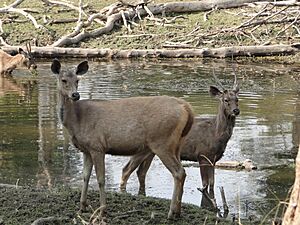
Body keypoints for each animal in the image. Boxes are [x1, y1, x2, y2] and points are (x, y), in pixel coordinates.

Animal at [51, 59, 195, 219]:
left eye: (77, 80)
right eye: (63, 80)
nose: (75, 95)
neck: (76, 121)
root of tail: (186, 108)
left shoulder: (97, 146)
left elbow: (101, 179)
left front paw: (102, 210)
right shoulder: (86, 150)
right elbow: (85, 176)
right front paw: (82, 207)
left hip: (161, 142)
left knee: (178, 172)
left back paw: (170, 212)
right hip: (177, 143)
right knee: (182, 172)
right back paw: (178, 211)